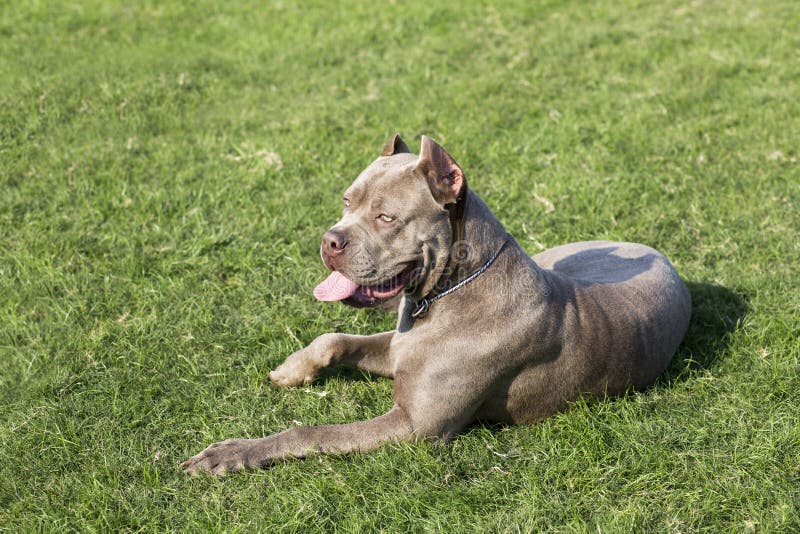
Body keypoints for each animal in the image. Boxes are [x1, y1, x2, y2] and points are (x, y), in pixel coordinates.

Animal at [180, 134, 688, 478]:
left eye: (386, 217)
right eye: (346, 201)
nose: (329, 240)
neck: (446, 292)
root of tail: (655, 252)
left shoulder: (414, 426)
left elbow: (313, 432)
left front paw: (231, 453)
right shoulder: (397, 346)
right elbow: (335, 337)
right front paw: (293, 368)